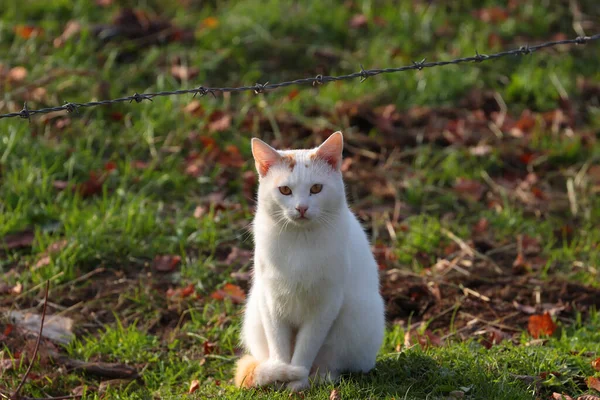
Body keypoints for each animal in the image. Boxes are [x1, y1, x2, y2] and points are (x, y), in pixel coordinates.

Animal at [234, 131, 384, 390]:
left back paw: (320, 377)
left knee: (332, 362)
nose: (301, 208)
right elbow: (279, 348)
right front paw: (280, 375)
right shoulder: (271, 301)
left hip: (356, 320)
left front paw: (296, 381)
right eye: (285, 190)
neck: (299, 240)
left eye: (316, 188)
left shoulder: (324, 306)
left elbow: (306, 349)